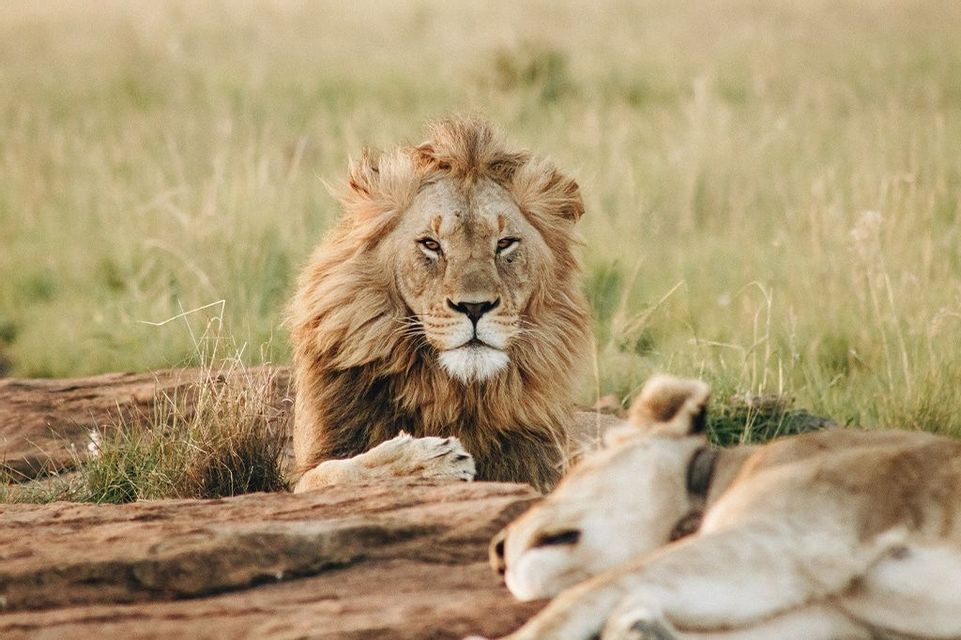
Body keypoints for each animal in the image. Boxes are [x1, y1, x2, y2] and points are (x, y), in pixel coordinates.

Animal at [287, 117, 596, 493]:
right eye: (431, 244)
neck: (453, 394)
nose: (475, 307)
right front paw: (428, 461)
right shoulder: (309, 471)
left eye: (505, 243)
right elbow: (337, 472)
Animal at [483, 375, 961, 639]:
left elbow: (586, 593)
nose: (496, 551)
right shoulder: (836, 619)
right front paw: (641, 628)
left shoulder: (789, 537)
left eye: (571, 474)